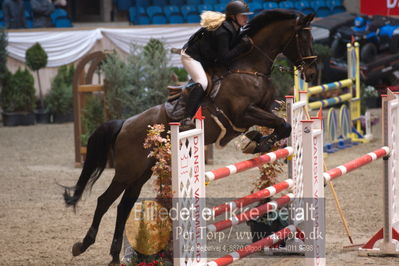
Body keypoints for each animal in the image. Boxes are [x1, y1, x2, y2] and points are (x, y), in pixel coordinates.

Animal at [64, 9, 318, 264]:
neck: (249, 68)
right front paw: (261, 142)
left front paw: (256, 140)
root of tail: (124, 124)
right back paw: (83, 245)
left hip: (142, 172)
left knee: (124, 205)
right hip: (127, 171)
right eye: (304, 38)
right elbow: (282, 124)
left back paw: (115, 255)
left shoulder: (265, 108)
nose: (311, 74)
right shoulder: (243, 113)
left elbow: (281, 123)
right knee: (105, 200)